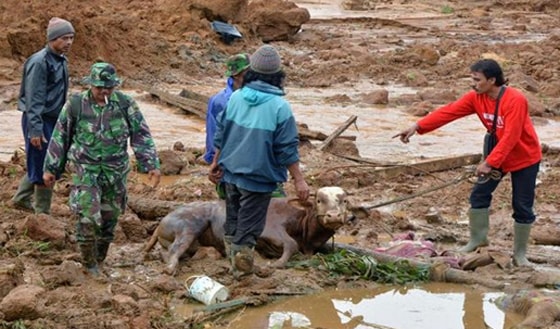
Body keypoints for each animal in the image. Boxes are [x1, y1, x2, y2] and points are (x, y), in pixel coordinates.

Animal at [142, 187, 366, 274]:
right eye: (319, 200)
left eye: (344, 201)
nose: (334, 216)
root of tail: (162, 221)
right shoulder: (271, 229)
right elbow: (290, 244)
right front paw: (277, 264)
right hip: (188, 227)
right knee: (173, 251)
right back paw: (171, 267)